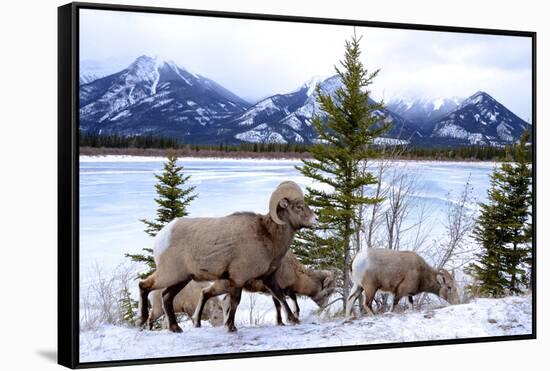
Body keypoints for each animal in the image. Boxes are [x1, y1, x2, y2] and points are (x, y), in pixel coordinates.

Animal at [140, 181, 316, 334]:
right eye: (298, 207)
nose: (315, 220)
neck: (268, 236)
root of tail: (161, 237)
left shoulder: (268, 278)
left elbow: (280, 297)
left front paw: (294, 320)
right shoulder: (239, 278)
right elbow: (235, 302)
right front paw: (230, 327)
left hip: (181, 279)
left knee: (166, 297)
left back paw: (176, 328)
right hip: (169, 275)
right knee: (144, 285)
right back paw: (143, 320)